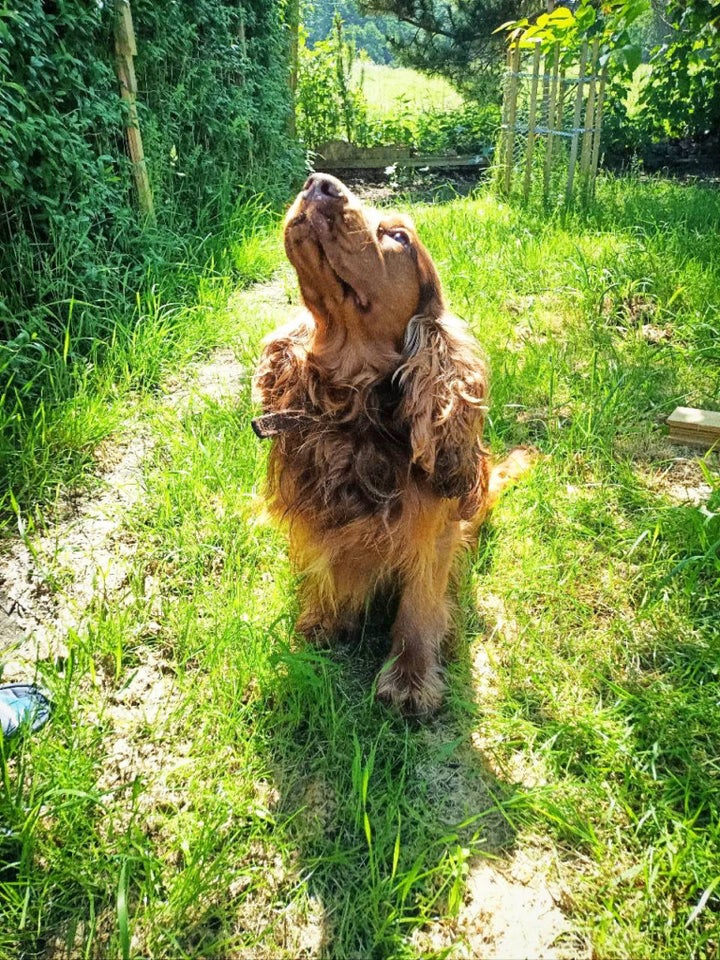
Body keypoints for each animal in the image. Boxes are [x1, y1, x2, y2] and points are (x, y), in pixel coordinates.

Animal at [253, 172, 528, 712]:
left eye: (398, 236)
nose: (318, 182)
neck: (351, 409)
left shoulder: (433, 533)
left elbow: (419, 607)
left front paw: (410, 679)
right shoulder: (316, 518)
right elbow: (324, 570)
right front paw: (320, 623)